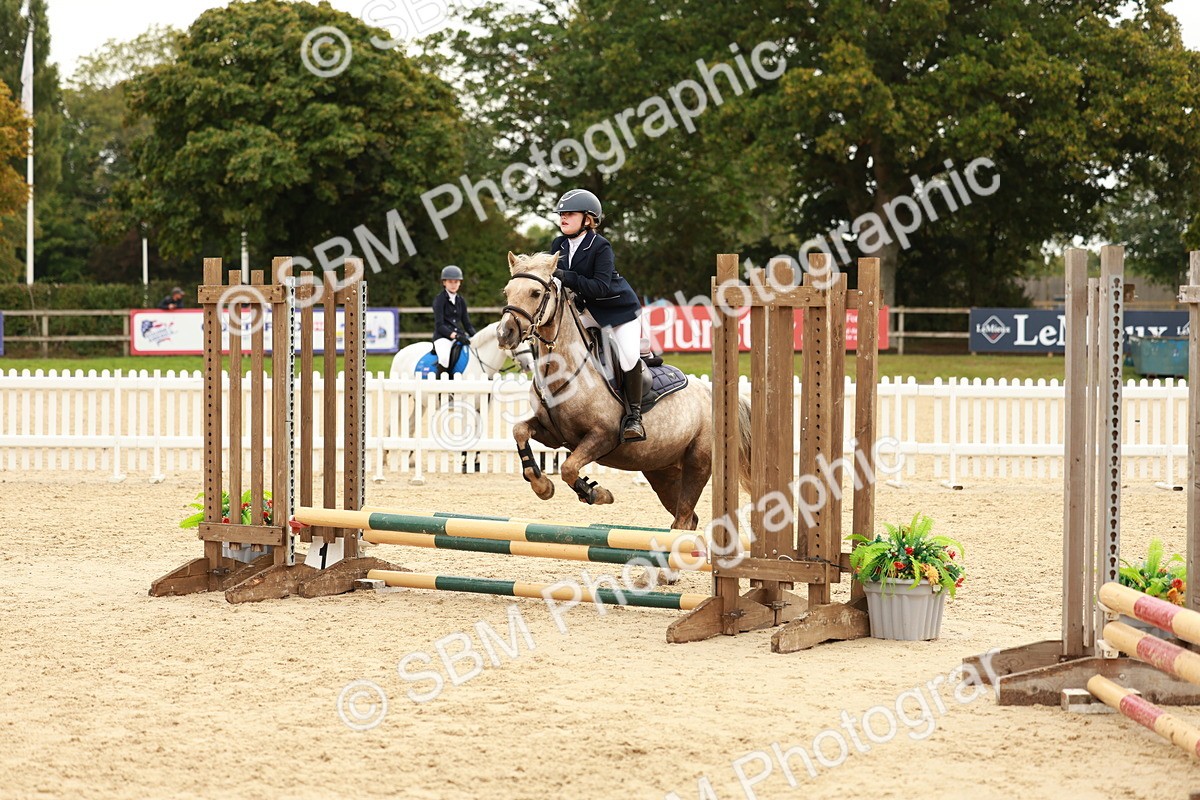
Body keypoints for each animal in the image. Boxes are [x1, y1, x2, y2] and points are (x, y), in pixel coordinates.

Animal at [495, 251, 752, 530]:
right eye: (507, 292)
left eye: (535, 293)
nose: (504, 333)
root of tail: (715, 395)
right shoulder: (553, 433)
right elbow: (520, 431)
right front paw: (542, 486)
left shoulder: (602, 436)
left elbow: (569, 468)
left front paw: (597, 494)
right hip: (662, 470)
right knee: (687, 518)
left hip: (698, 464)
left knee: (683, 519)